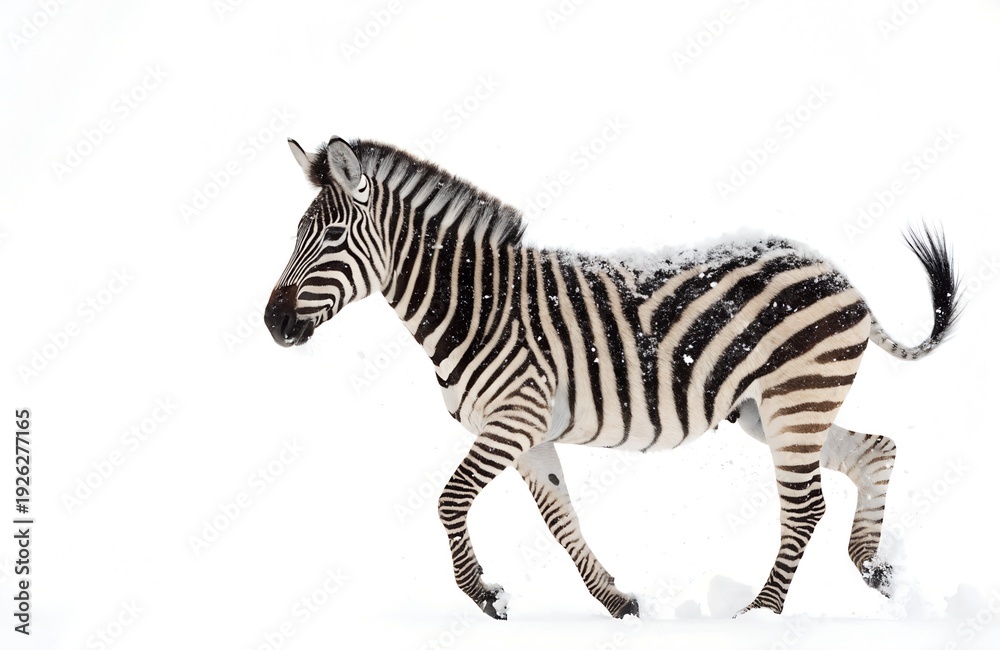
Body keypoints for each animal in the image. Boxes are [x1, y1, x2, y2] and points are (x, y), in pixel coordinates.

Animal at [265, 136, 960, 620]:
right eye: (296, 233)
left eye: (332, 235)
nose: (272, 322)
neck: (475, 305)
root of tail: (841, 276)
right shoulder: (530, 433)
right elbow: (560, 518)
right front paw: (617, 603)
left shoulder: (513, 418)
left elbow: (449, 500)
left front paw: (483, 596)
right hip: (773, 410)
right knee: (874, 451)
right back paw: (876, 571)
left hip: (796, 400)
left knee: (806, 506)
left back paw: (762, 614)